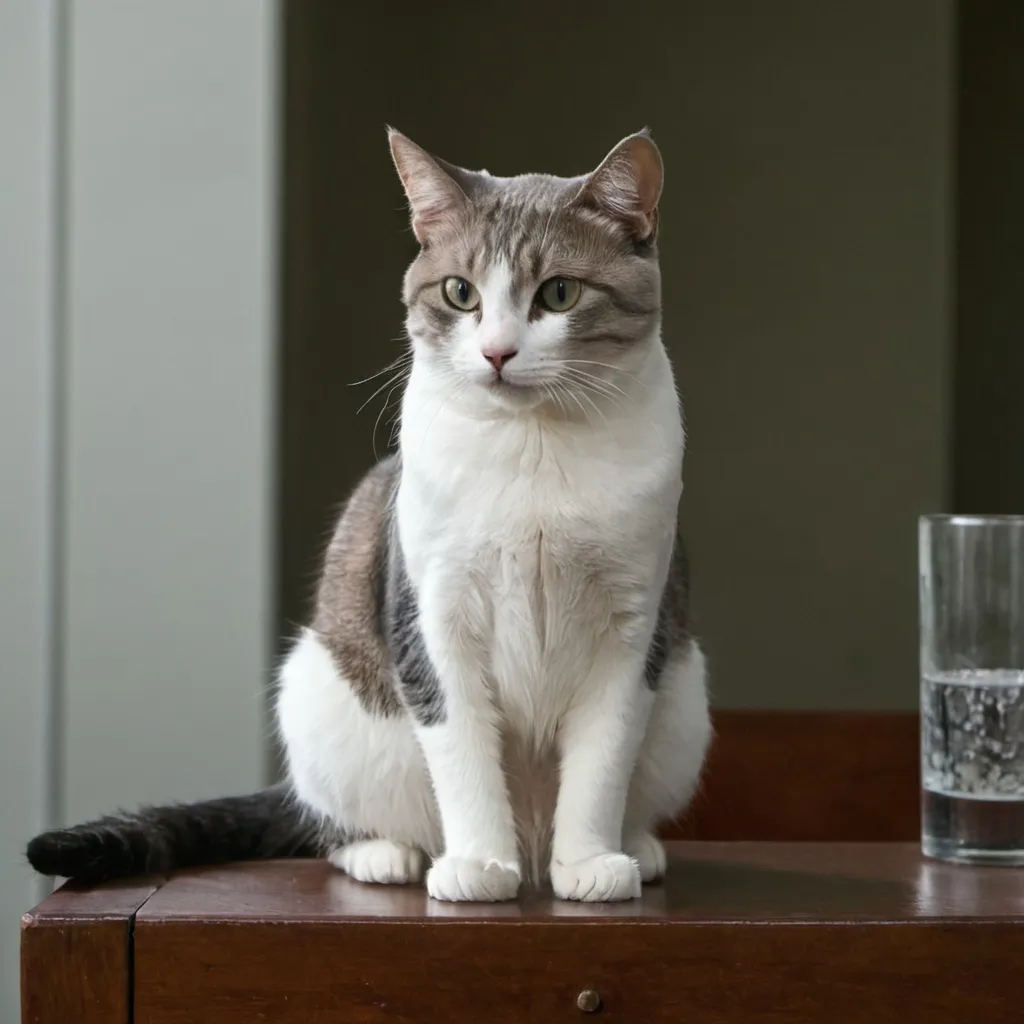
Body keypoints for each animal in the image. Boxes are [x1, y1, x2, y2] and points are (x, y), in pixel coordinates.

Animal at [25, 128, 712, 905]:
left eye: (559, 293)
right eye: (460, 292)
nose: (497, 352)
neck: (534, 448)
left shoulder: (634, 627)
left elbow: (602, 756)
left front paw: (590, 862)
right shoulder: (432, 614)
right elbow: (461, 747)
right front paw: (480, 865)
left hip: (685, 705)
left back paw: (633, 848)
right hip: (316, 694)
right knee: (333, 824)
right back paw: (386, 854)